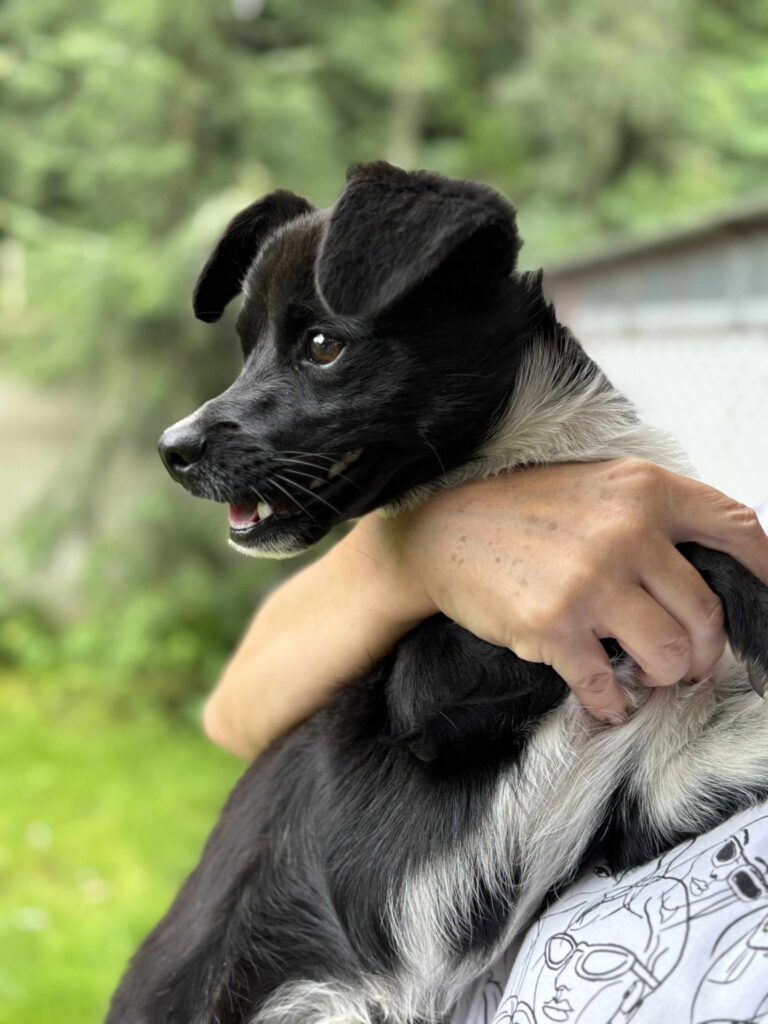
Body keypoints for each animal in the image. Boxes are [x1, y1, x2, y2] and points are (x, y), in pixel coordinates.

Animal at [106, 162, 768, 1024]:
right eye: (245, 348)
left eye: (322, 345)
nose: (171, 451)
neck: (537, 455)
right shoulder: (432, 683)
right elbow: (687, 540)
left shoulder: (658, 793)